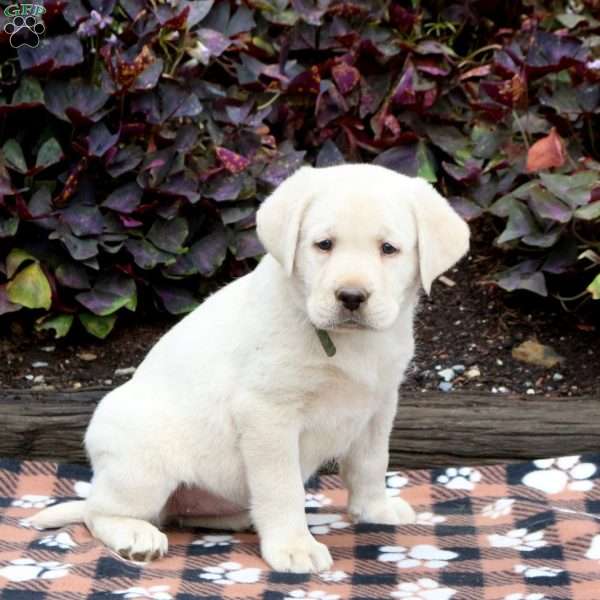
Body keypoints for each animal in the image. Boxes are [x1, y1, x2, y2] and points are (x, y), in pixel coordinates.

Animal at [30, 163, 472, 572]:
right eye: (324, 244)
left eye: (389, 249)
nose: (351, 296)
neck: (346, 343)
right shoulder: (268, 413)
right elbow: (282, 486)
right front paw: (294, 546)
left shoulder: (379, 405)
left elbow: (371, 463)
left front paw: (374, 509)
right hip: (141, 467)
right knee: (99, 512)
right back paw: (136, 535)